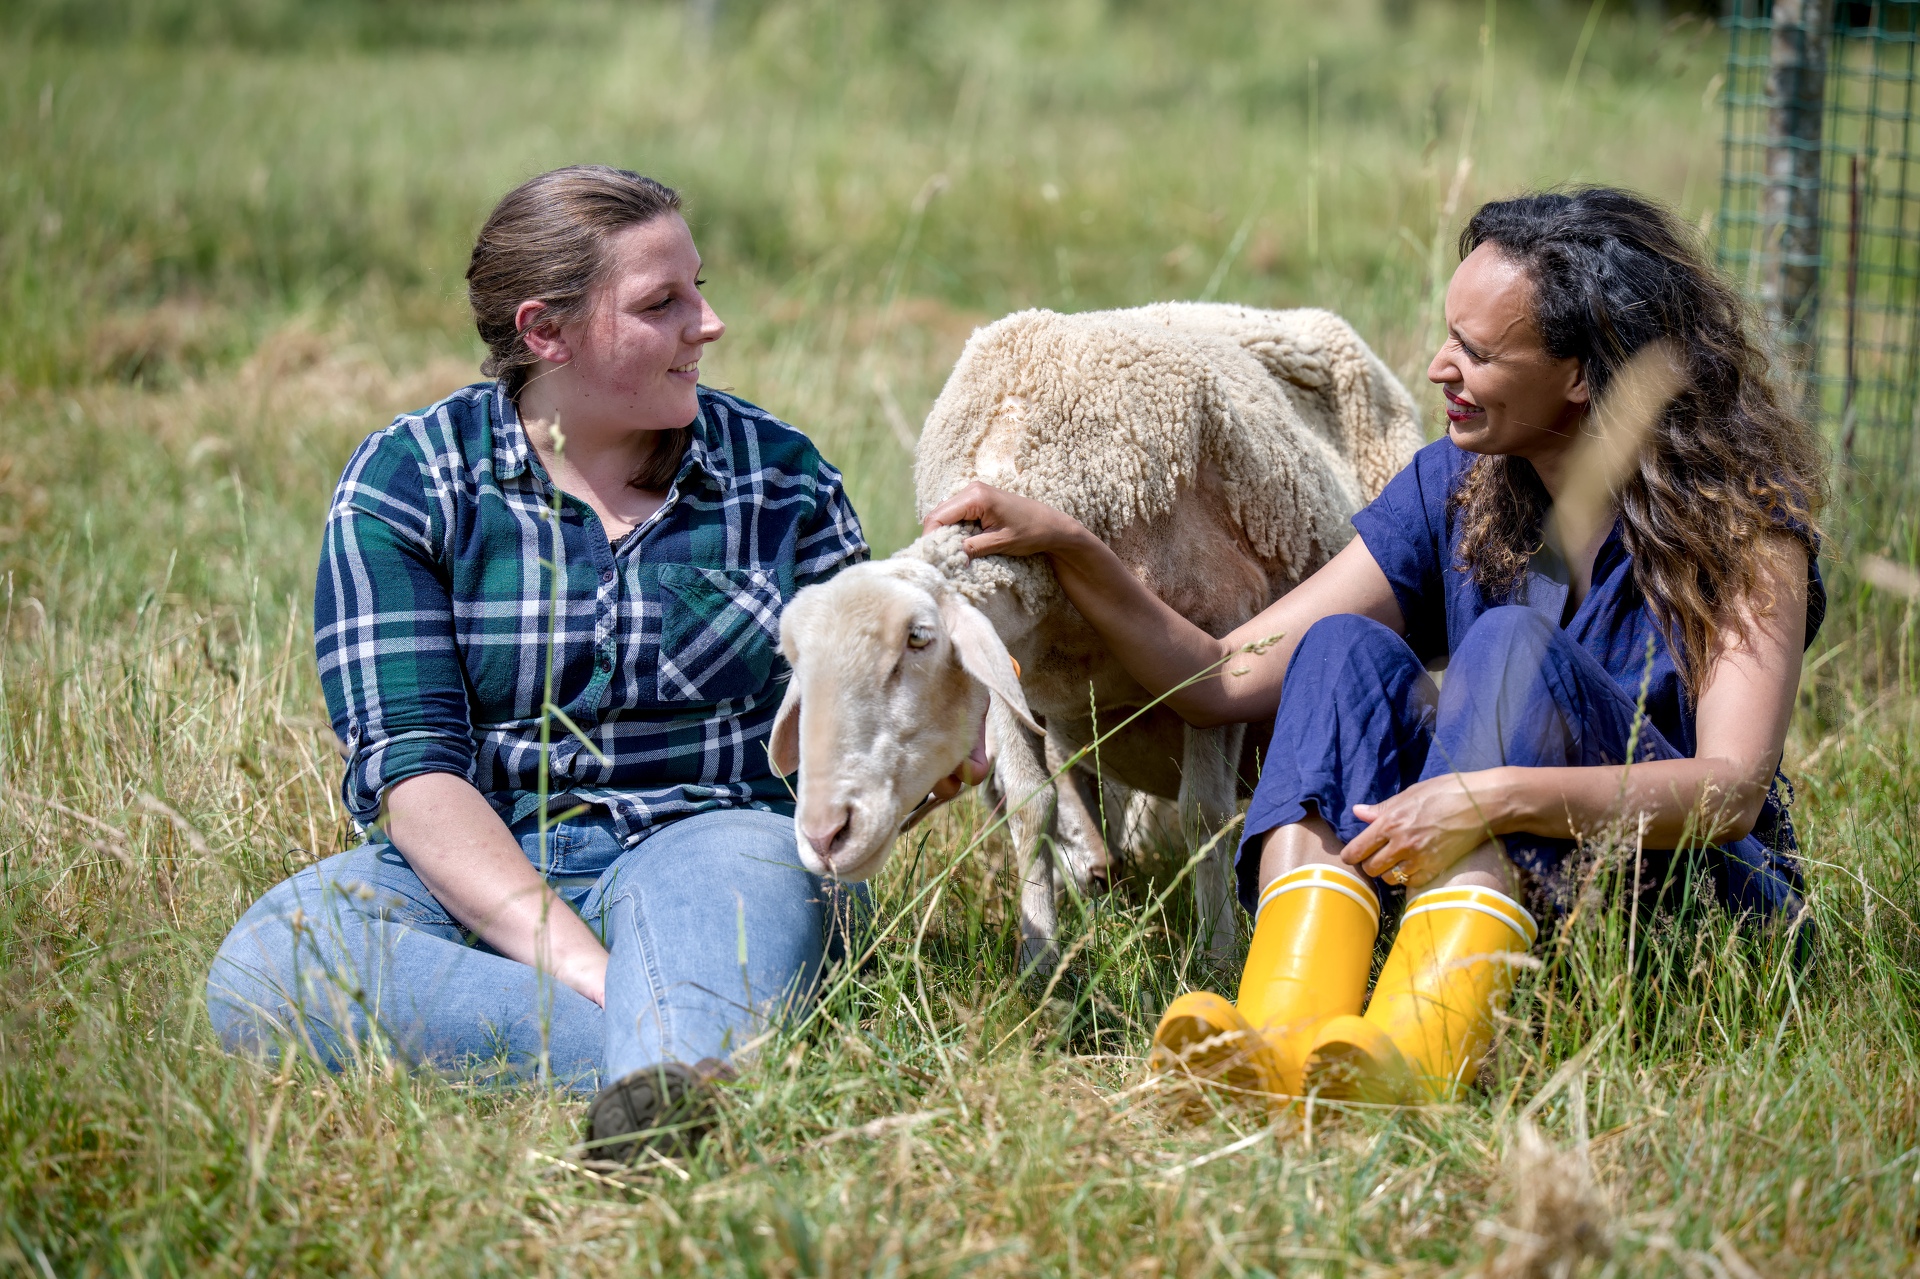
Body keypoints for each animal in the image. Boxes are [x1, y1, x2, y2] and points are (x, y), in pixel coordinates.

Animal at [768, 303, 1428, 960]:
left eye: (919, 641)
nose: (825, 835)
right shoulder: (1009, 676)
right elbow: (1030, 809)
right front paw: (1039, 964)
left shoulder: (1224, 633)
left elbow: (1205, 814)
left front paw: (1216, 957)